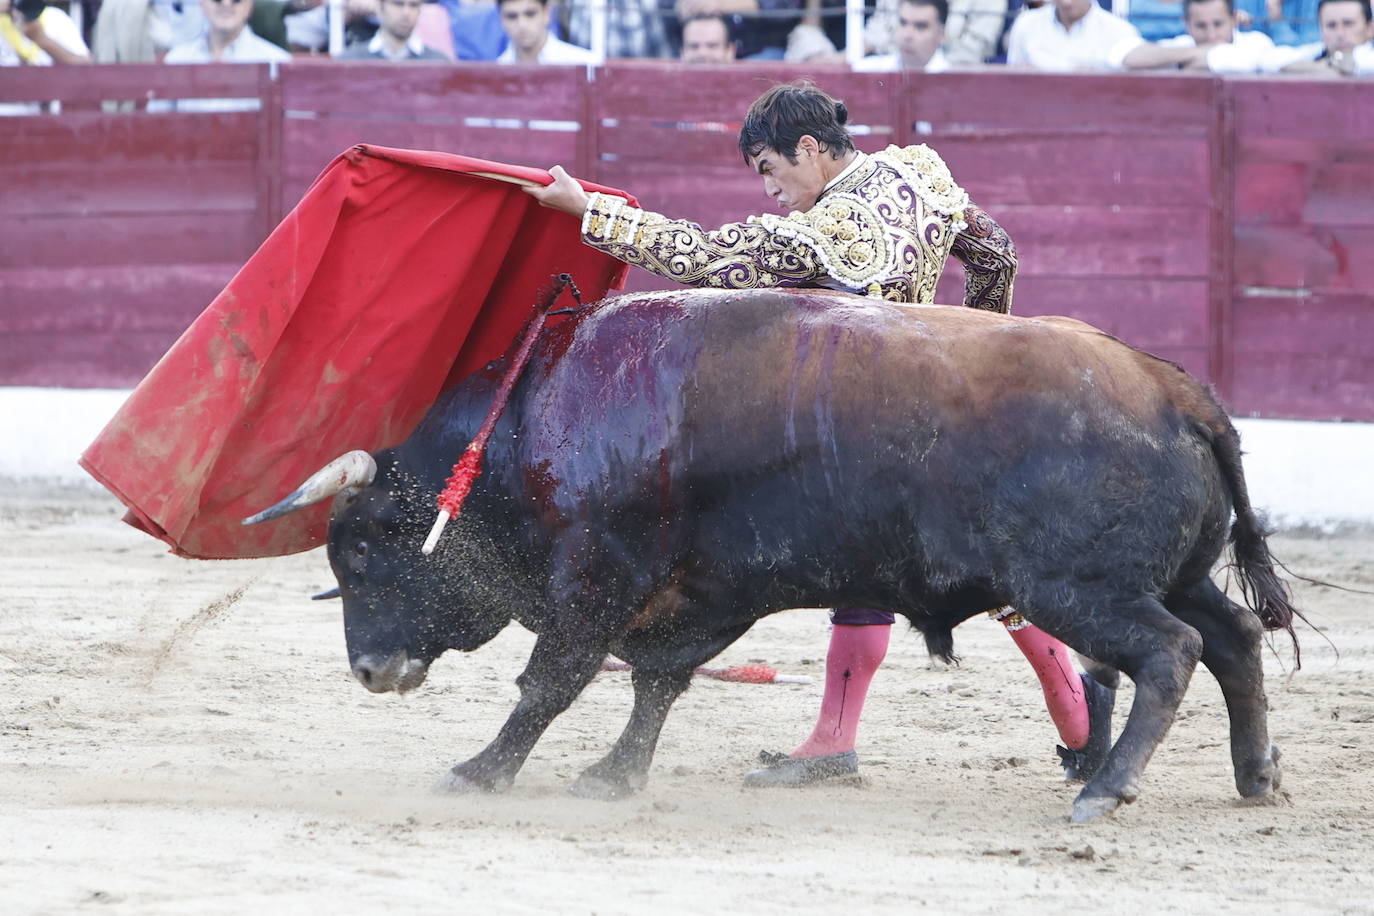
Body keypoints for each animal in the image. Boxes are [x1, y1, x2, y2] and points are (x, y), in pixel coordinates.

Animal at [244, 288, 1297, 823]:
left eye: (363, 550)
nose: (370, 670)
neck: (536, 422)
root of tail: (1174, 391)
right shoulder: (702, 592)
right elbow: (657, 683)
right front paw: (613, 777)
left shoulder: (598, 579)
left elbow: (553, 681)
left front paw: (480, 770)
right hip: (1172, 576)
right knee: (1234, 638)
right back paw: (1253, 777)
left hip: (1079, 588)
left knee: (1170, 654)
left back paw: (1108, 786)